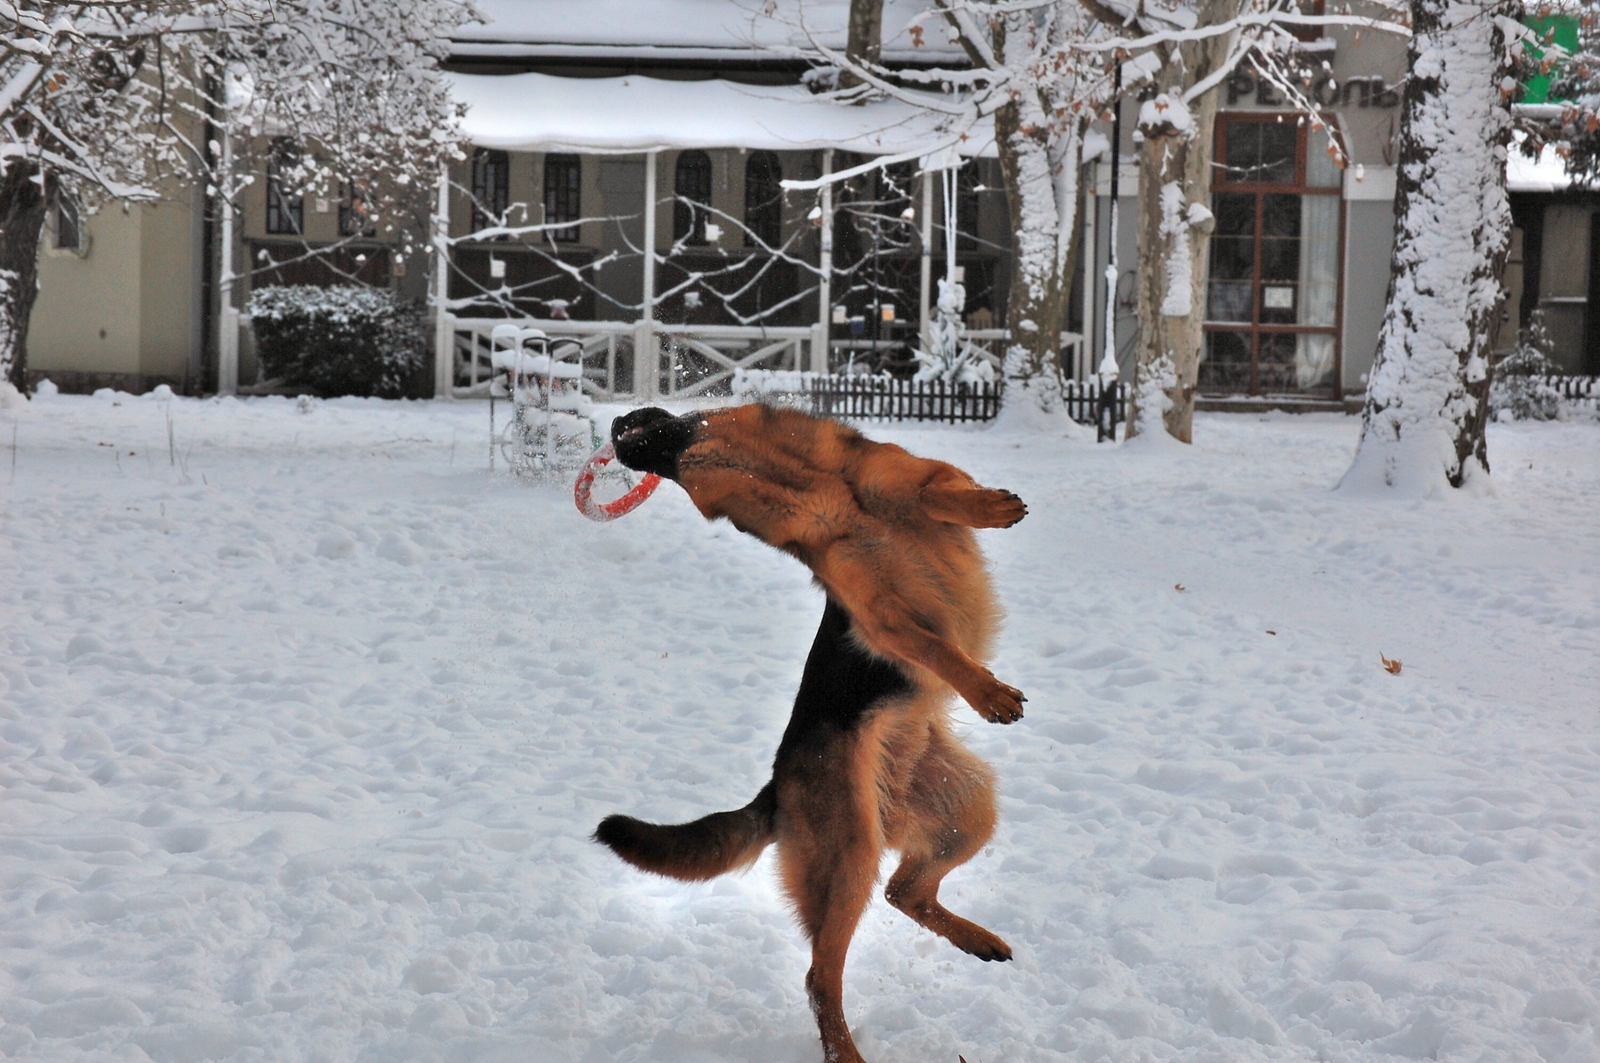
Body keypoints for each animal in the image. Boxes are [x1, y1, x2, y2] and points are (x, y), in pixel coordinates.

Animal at [598, 403, 1024, 1056]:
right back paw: (844, 1051)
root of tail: (774, 789)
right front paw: (988, 692)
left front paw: (993, 508)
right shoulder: (883, 621)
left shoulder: (923, 479)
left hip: (966, 810)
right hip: (849, 858)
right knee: (822, 973)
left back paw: (977, 940)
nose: (615, 424)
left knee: (904, 894)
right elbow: (936, 648)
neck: (820, 493)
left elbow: (939, 494)